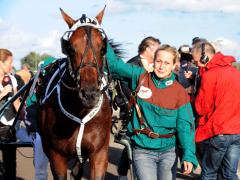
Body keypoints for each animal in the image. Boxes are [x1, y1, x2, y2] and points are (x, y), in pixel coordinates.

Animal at [37, 6, 112, 179]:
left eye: (102, 48)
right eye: (70, 48)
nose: (90, 94)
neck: (81, 113)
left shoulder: (100, 154)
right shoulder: (56, 157)